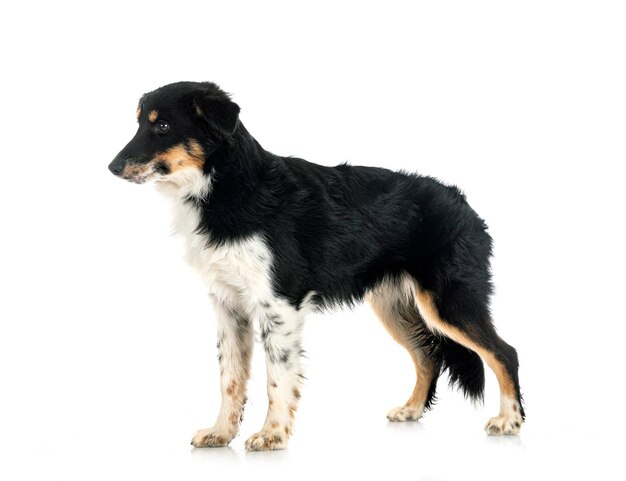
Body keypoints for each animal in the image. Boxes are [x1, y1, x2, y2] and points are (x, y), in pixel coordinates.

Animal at [107, 81, 520, 450]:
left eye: (162, 126)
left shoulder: (279, 305)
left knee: (504, 352)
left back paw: (509, 421)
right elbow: (230, 379)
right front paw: (221, 434)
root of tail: (463, 203)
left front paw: (272, 435)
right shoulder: (228, 304)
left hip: (448, 302)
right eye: (139, 123)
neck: (229, 187)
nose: (111, 167)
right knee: (428, 355)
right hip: (394, 307)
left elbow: (277, 378)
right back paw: (411, 410)